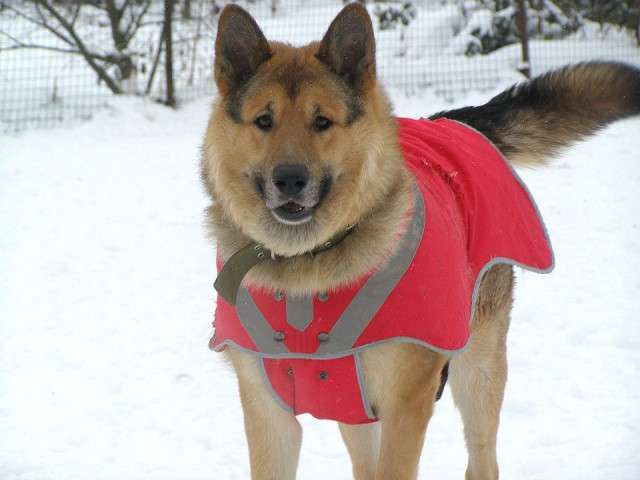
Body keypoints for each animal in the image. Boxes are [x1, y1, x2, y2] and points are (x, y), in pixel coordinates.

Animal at [201, 1, 640, 478]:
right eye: (264, 121)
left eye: (322, 122)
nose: (290, 180)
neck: (308, 263)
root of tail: (452, 120)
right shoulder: (268, 413)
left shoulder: (406, 401)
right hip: (351, 406)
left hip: (478, 367)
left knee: (482, 459)